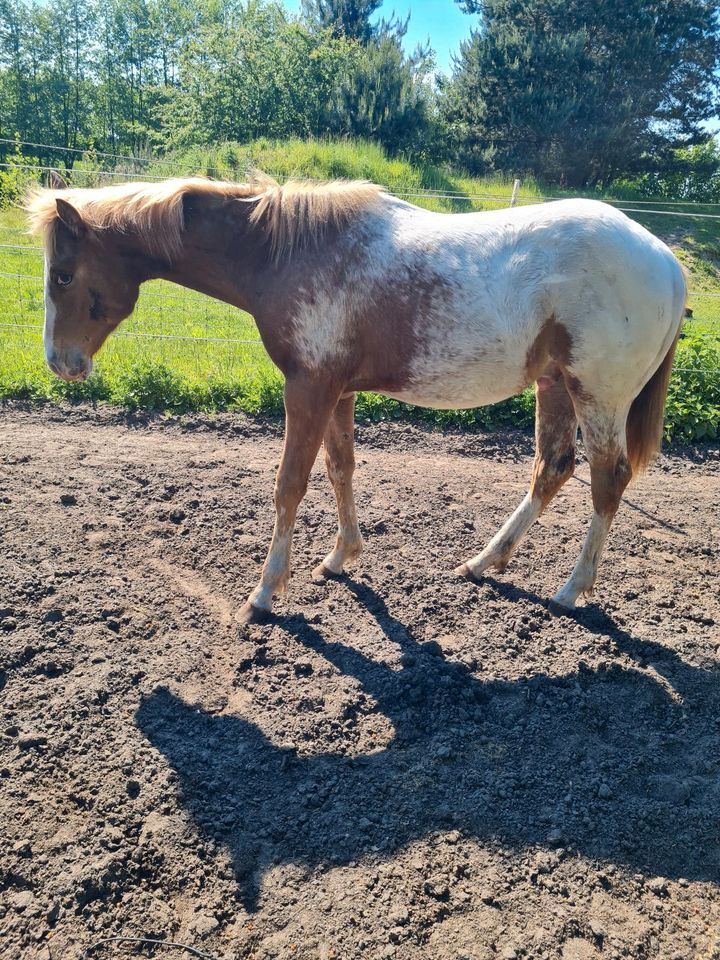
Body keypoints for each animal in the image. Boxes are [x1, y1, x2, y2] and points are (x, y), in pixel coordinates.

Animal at [23, 174, 688, 624]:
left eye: (63, 274)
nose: (60, 363)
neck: (289, 253)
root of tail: (667, 262)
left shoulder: (308, 387)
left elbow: (290, 484)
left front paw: (266, 592)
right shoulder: (336, 391)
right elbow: (339, 467)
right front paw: (341, 557)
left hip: (596, 394)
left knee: (607, 480)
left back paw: (573, 590)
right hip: (554, 387)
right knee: (553, 469)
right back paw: (482, 563)